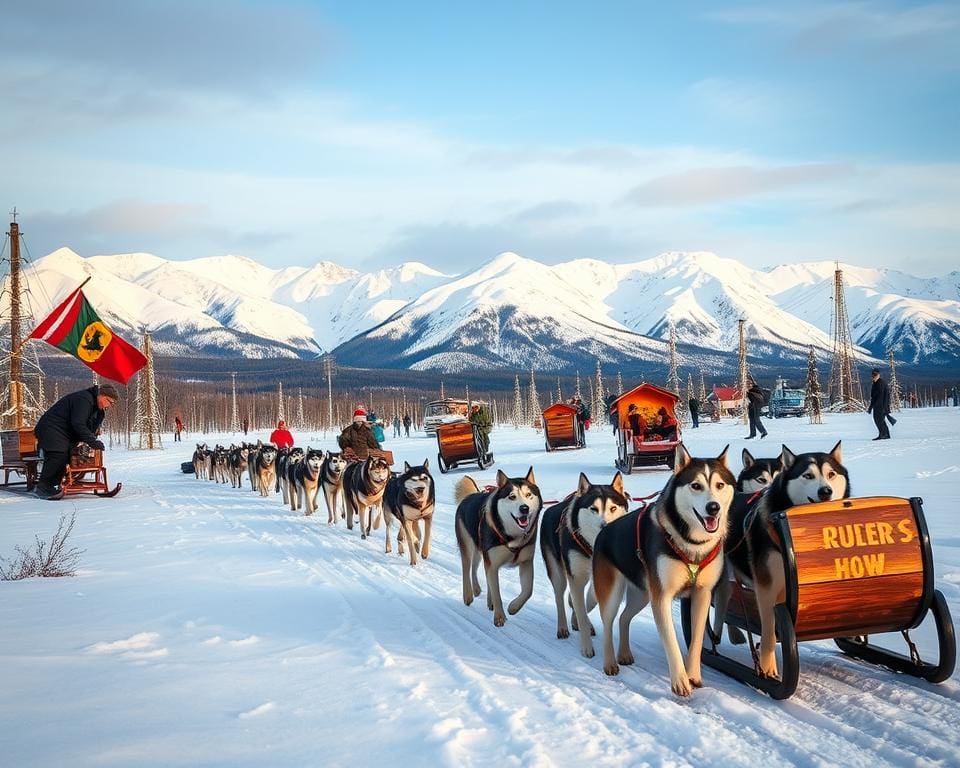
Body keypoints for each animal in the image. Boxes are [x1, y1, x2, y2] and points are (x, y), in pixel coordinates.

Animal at [456, 468, 544, 624]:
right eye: (512, 496)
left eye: (528, 495)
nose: (524, 508)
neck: (513, 537)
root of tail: (468, 497)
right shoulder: (493, 564)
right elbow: (497, 593)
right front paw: (499, 617)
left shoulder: (526, 562)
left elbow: (528, 591)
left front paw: (513, 607)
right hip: (467, 546)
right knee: (466, 569)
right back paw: (468, 595)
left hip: (481, 551)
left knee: (475, 568)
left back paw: (482, 594)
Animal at [540, 468, 632, 656]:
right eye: (593, 509)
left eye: (613, 508)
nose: (605, 526)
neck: (592, 546)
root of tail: (550, 509)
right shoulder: (575, 578)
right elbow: (580, 610)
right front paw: (586, 647)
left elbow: (589, 601)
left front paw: (580, 618)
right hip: (557, 573)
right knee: (559, 597)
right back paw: (562, 627)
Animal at [592, 444, 736, 696]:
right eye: (696, 485)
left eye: (720, 485)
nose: (713, 508)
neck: (691, 544)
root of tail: (605, 530)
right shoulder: (662, 597)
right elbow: (671, 641)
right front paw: (680, 680)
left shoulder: (702, 594)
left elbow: (697, 639)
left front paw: (693, 675)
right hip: (613, 593)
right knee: (608, 623)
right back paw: (610, 662)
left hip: (642, 594)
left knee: (623, 618)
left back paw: (624, 654)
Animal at [716, 440, 852, 676]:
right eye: (807, 475)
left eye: (831, 474)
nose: (825, 491)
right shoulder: (766, 588)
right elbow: (769, 630)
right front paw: (768, 667)